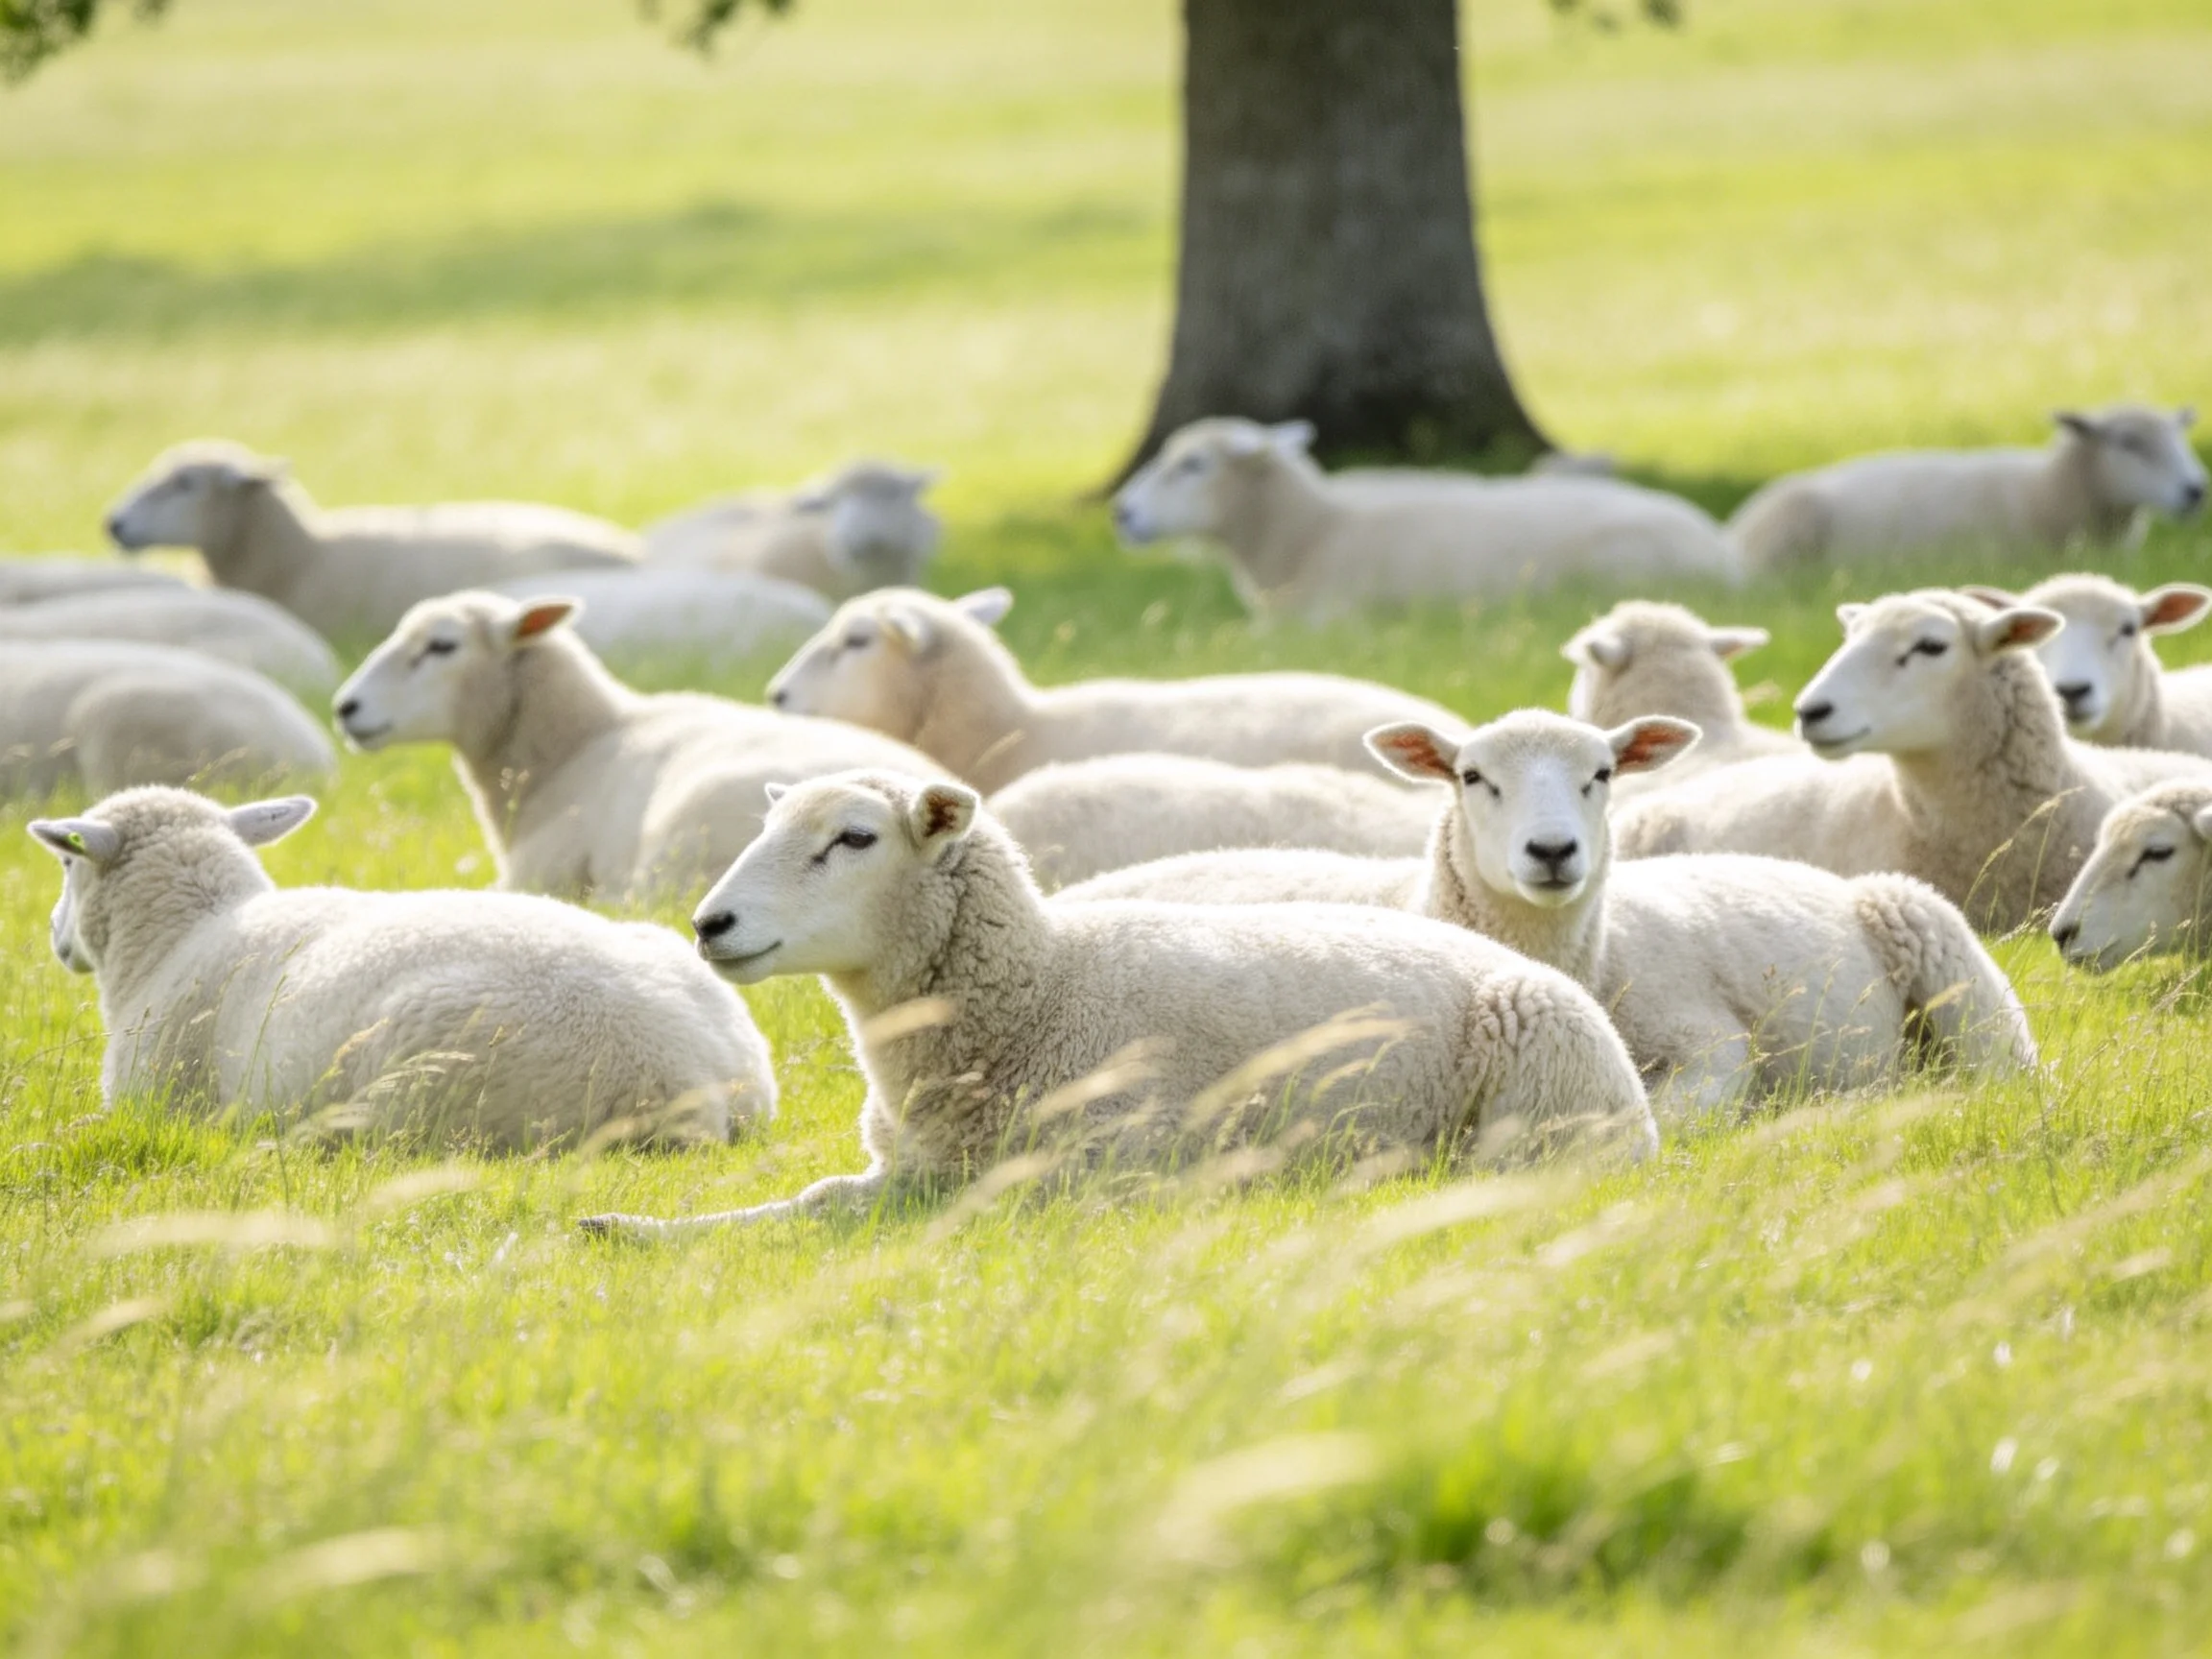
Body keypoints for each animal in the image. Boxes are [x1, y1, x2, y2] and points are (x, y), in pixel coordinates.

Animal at [27, 788, 772, 1150]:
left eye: (65, 861)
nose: (54, 938)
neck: (184, 932)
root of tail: (693, 1083)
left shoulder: (152, 1099)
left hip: (419, 1095)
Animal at [578, 769, 1655, 1235]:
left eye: (854, 838)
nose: (709, 923)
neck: (1041, 992)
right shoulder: (915, 1164)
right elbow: (814, 1204)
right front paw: (628, 1230)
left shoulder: (1089, 1174)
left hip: (1541, 1124)